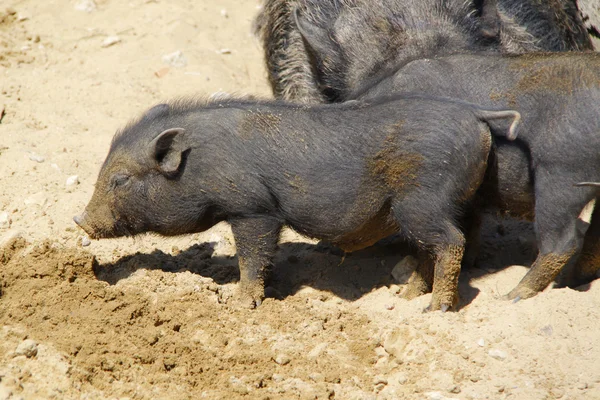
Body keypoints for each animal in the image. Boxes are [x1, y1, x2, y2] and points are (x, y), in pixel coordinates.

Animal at [72, 95, 516, 310]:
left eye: (120, 179)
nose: (79, 220)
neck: (200, 162)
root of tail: (476, 116)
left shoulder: (253, 209)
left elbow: (253, 255)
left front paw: (241, 304)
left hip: (422, 201)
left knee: (451, 242)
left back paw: (435, 308)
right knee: (433, 245)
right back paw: (406, 298)